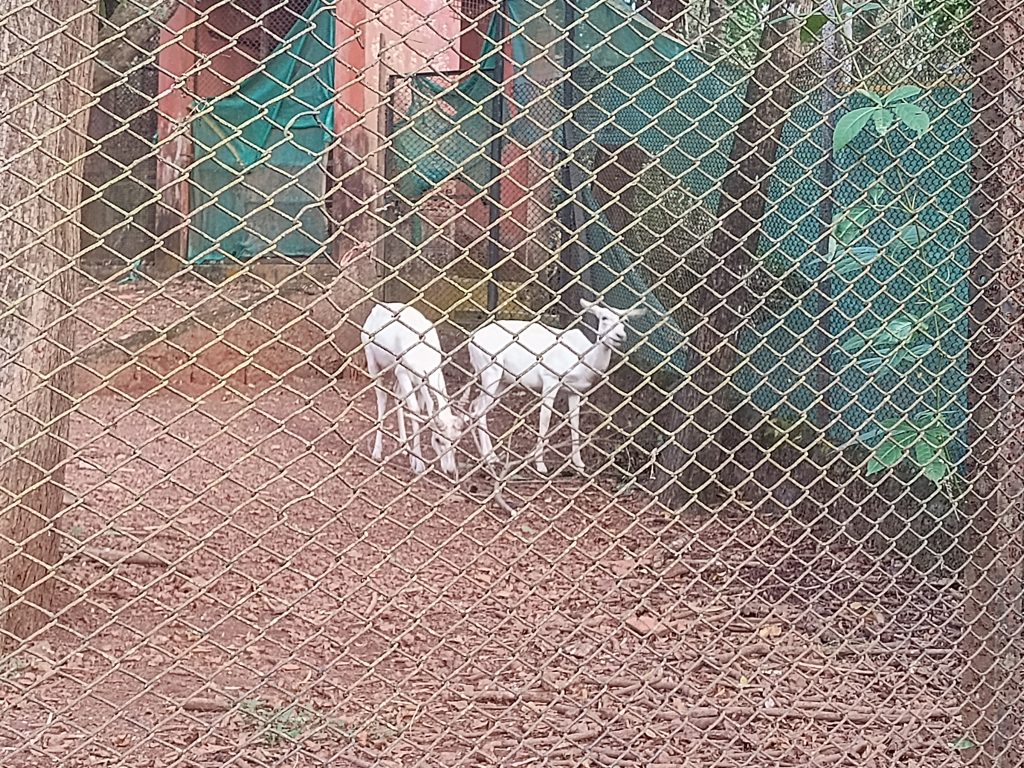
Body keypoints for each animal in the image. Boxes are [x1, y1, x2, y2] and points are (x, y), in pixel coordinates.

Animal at [360, 303, 468, 479]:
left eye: (456, 441)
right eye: (438, 440)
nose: (451, 470)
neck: (422, 353)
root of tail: (377, 308)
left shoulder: (420, 382)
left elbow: (422, 412)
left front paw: (413, 458)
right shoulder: (403, 373)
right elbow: (415, 411)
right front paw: (419, 465)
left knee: (397, 395)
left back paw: (404, 446)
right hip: (374, 363)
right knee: (382, 397)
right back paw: (377, 453)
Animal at [468, 296, 643, 479]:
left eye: (625, 321)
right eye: (604, 317)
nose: (620, 335)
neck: (583, 359)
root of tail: (471, 340)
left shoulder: (574, 391)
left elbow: (575, 424)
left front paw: (579, 464)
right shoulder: (550, 380)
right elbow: (545, 420)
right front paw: (540, 465)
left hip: (502, 382)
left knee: (477, 406)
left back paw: (492, 456)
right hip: (490, 373)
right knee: (478, 411)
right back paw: (489, 458)